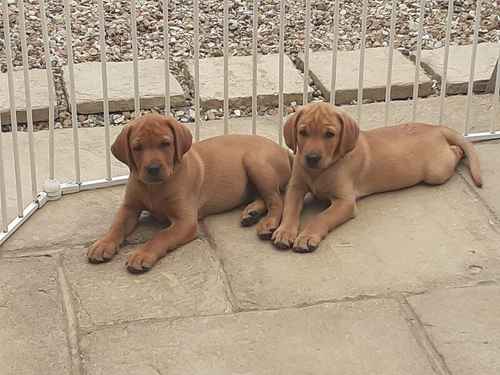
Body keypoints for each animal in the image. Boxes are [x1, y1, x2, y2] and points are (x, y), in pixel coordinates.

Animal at [88, 114, 292, 274]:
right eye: (137, 148)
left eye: (165, 144)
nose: (153, 168)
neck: (155, 187)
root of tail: (284, 150)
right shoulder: (129, 207)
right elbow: (117, 225)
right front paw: (103, 244)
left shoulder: (185, 221)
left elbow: (161, 236)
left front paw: (142, 254)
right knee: (264, 197)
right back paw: (252, 213)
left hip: (255, 162)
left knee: (277, 199)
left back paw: (268, 223)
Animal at [272, 102, 482, 253]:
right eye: (303, 132)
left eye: (329, 134)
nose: (312, 158)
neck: (320, 171)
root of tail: (436, 128)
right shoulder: (295, 188)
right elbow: (290, 210)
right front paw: (285, 232)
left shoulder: (344, 202)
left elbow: (321, 217)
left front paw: (307, 236)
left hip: (437, 172)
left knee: (456, 150)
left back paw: (459, 152)